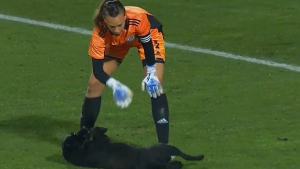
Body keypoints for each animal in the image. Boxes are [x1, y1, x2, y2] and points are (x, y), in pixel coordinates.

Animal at [62, 127, 205, 169]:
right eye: (74, 135)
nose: (83, 128)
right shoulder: (101, 141)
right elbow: (98, 132)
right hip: (165, 149)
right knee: (180, 160)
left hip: (169, 149)